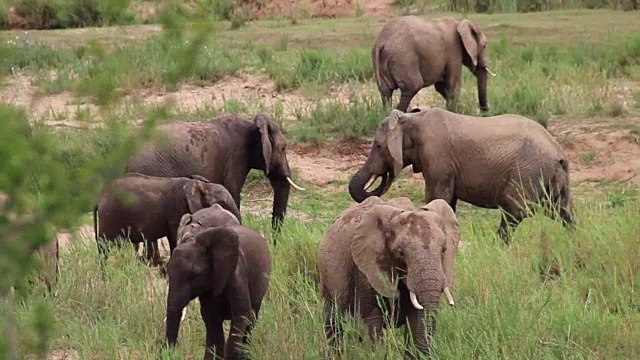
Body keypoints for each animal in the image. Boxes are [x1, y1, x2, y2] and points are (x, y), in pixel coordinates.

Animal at [95, 172, 242, 268]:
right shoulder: (177, 208)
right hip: (110, 217)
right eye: (222, 203)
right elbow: (173, 237)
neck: (199, 185)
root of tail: (99, 197)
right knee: (104, 246)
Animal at [164, 225, 272, 360]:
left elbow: (242, 315)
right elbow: (211, 318)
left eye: (192, 276)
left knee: (251, 320)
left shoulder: (237, 275)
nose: (170, 353)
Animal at [316, 197, 458, 360]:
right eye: (400, 253)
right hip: (327, 275)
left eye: (444, 250)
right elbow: (372, 321)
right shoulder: (365, 269)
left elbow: (418, 320)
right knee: (333, 320)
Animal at [350, 107, 576, 242]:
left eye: (378, 146)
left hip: (528, 172)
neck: (411, 118)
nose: (386, 174)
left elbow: (436, 198)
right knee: (562, 212)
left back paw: (496, 247)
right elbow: (446, 203)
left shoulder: (437, 159)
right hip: (553, 177)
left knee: (514, 213)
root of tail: (558, 153)